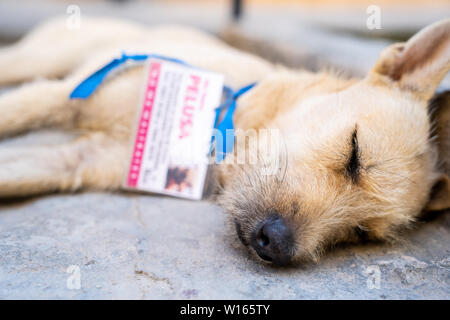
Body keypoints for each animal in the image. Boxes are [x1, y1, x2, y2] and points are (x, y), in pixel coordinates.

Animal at [0, 18, 448, 268]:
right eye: (354, 152)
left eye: (360, 233)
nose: (276, 245)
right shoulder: (61, 97)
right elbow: (13, 112)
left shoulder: (79, 160)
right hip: (40, 61)